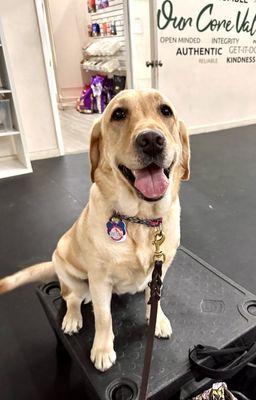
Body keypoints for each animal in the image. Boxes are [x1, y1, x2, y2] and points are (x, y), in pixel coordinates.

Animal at [0, 89, 189, 370]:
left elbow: (154, 296)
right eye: (119, 114)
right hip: (68, 270)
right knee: (71, 298)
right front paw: (102, 349)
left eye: (165, 111)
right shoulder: (100, 280)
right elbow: (103, 317)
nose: (152, 140)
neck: (140, 220)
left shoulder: (161, 267)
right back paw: (72, 318)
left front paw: (158, 319)